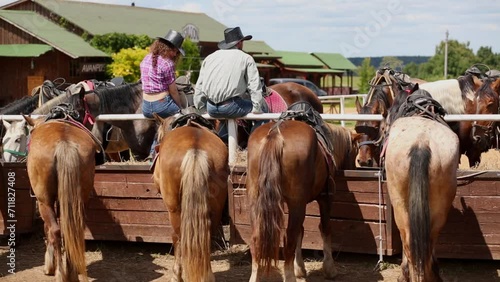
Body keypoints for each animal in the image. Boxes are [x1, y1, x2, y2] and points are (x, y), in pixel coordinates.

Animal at [246, 106, 360, 282]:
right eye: (355, 153)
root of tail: (275, 134)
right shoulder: (325, 198)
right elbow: (324, 228)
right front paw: (329, 268)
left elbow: (301, 231)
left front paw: (299, 267)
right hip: (297, 204)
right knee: (289, 240)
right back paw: (289, 276)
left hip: (256, 201)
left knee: (257, 239)